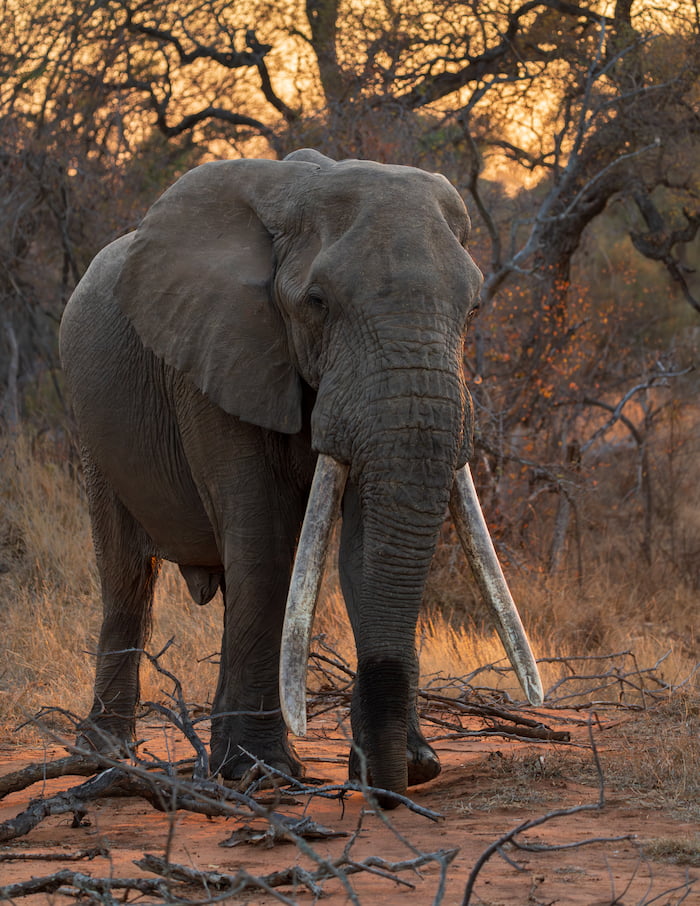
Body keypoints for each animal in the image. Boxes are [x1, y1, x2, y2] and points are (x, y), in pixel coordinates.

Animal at [59, 148, 542, 807]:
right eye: (317, 302)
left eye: (472, 310)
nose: (387, 791)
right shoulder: (217, 353)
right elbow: (263, 539)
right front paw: (261, 773)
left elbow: (362, 546)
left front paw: (406, 767)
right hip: (92, 421)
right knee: (127, 574)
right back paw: (106, 758)